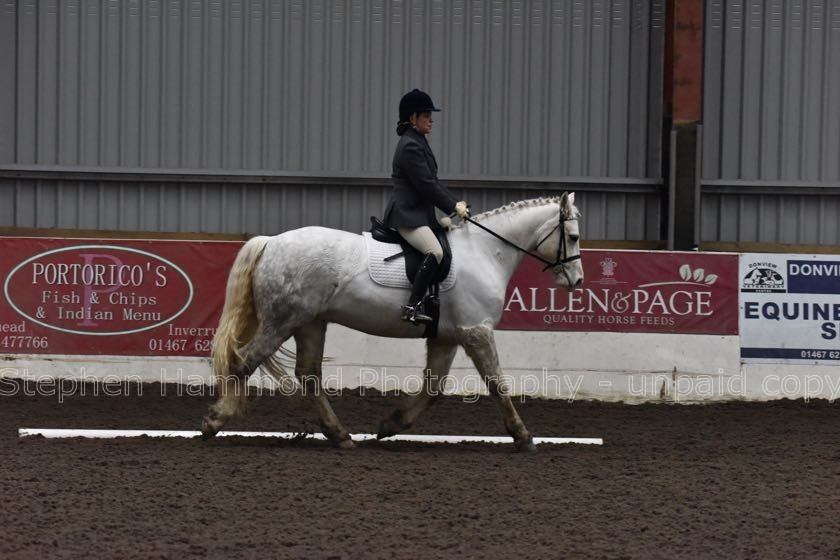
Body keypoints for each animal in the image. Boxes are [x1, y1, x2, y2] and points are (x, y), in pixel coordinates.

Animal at [203, 192, 584, 450]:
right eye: (574, 237)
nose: (577, 281)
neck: (485, 252)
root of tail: (270, 242)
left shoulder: (447, 336)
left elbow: (434, 388)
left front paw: (390, 424)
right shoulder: (476, 331)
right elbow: (497, 383)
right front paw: (523, 436)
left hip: (310, 323)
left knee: (309, 376)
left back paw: (340, 435)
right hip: (281, 321)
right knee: (244, 362)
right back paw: (215, 420)